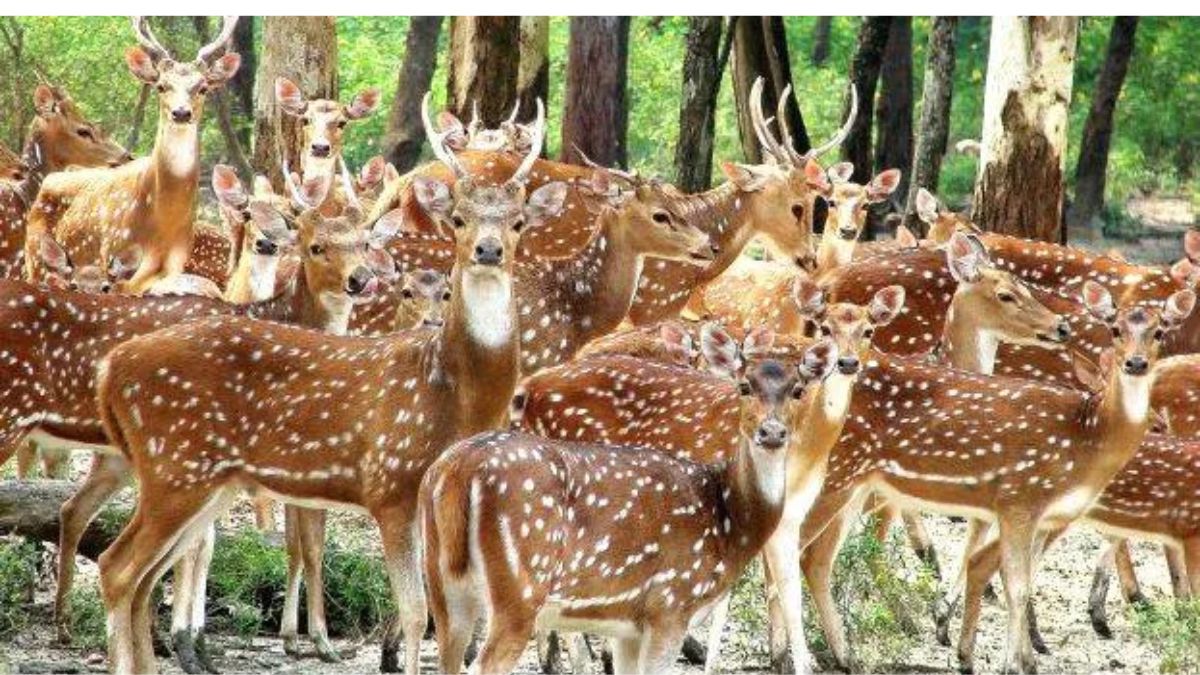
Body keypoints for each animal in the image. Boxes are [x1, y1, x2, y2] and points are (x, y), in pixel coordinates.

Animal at [24, 16, 240, 293]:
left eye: (203, 88)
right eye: (161, 86)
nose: (181, 113)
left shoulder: (169, 269)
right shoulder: (112, 254)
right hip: (36, 264)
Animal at [91, 96, 559, 675]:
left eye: (518, 222)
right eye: (458, 219)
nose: (489, 250)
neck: (456, 392)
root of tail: (110, 370)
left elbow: (449, 620)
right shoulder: (390, 483)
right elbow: (416, 613)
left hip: (202, 479)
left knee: (142, 577)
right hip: (175, 466)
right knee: (117, 567)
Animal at [422, 330, 838, 674]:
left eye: (798, 390)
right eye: (744, 386)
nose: (772, 431)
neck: (728, 521)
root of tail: (455, 471)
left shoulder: (629, 627)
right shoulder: (670, 604)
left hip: (445, 590)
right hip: (519, 592)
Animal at [792, 281, 1194, 674]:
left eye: (1159, 331)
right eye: (1115, 330)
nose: (1136, 363)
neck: (1088, 438)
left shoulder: (1045, 515)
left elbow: (1019, 578)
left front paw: (1012, 658)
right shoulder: (1020, 498)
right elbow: (1016, 585)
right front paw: (1011, 664)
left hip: (856, 484)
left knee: (817, 559)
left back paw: (845, 657)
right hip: (833, 474)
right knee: (794, 548)